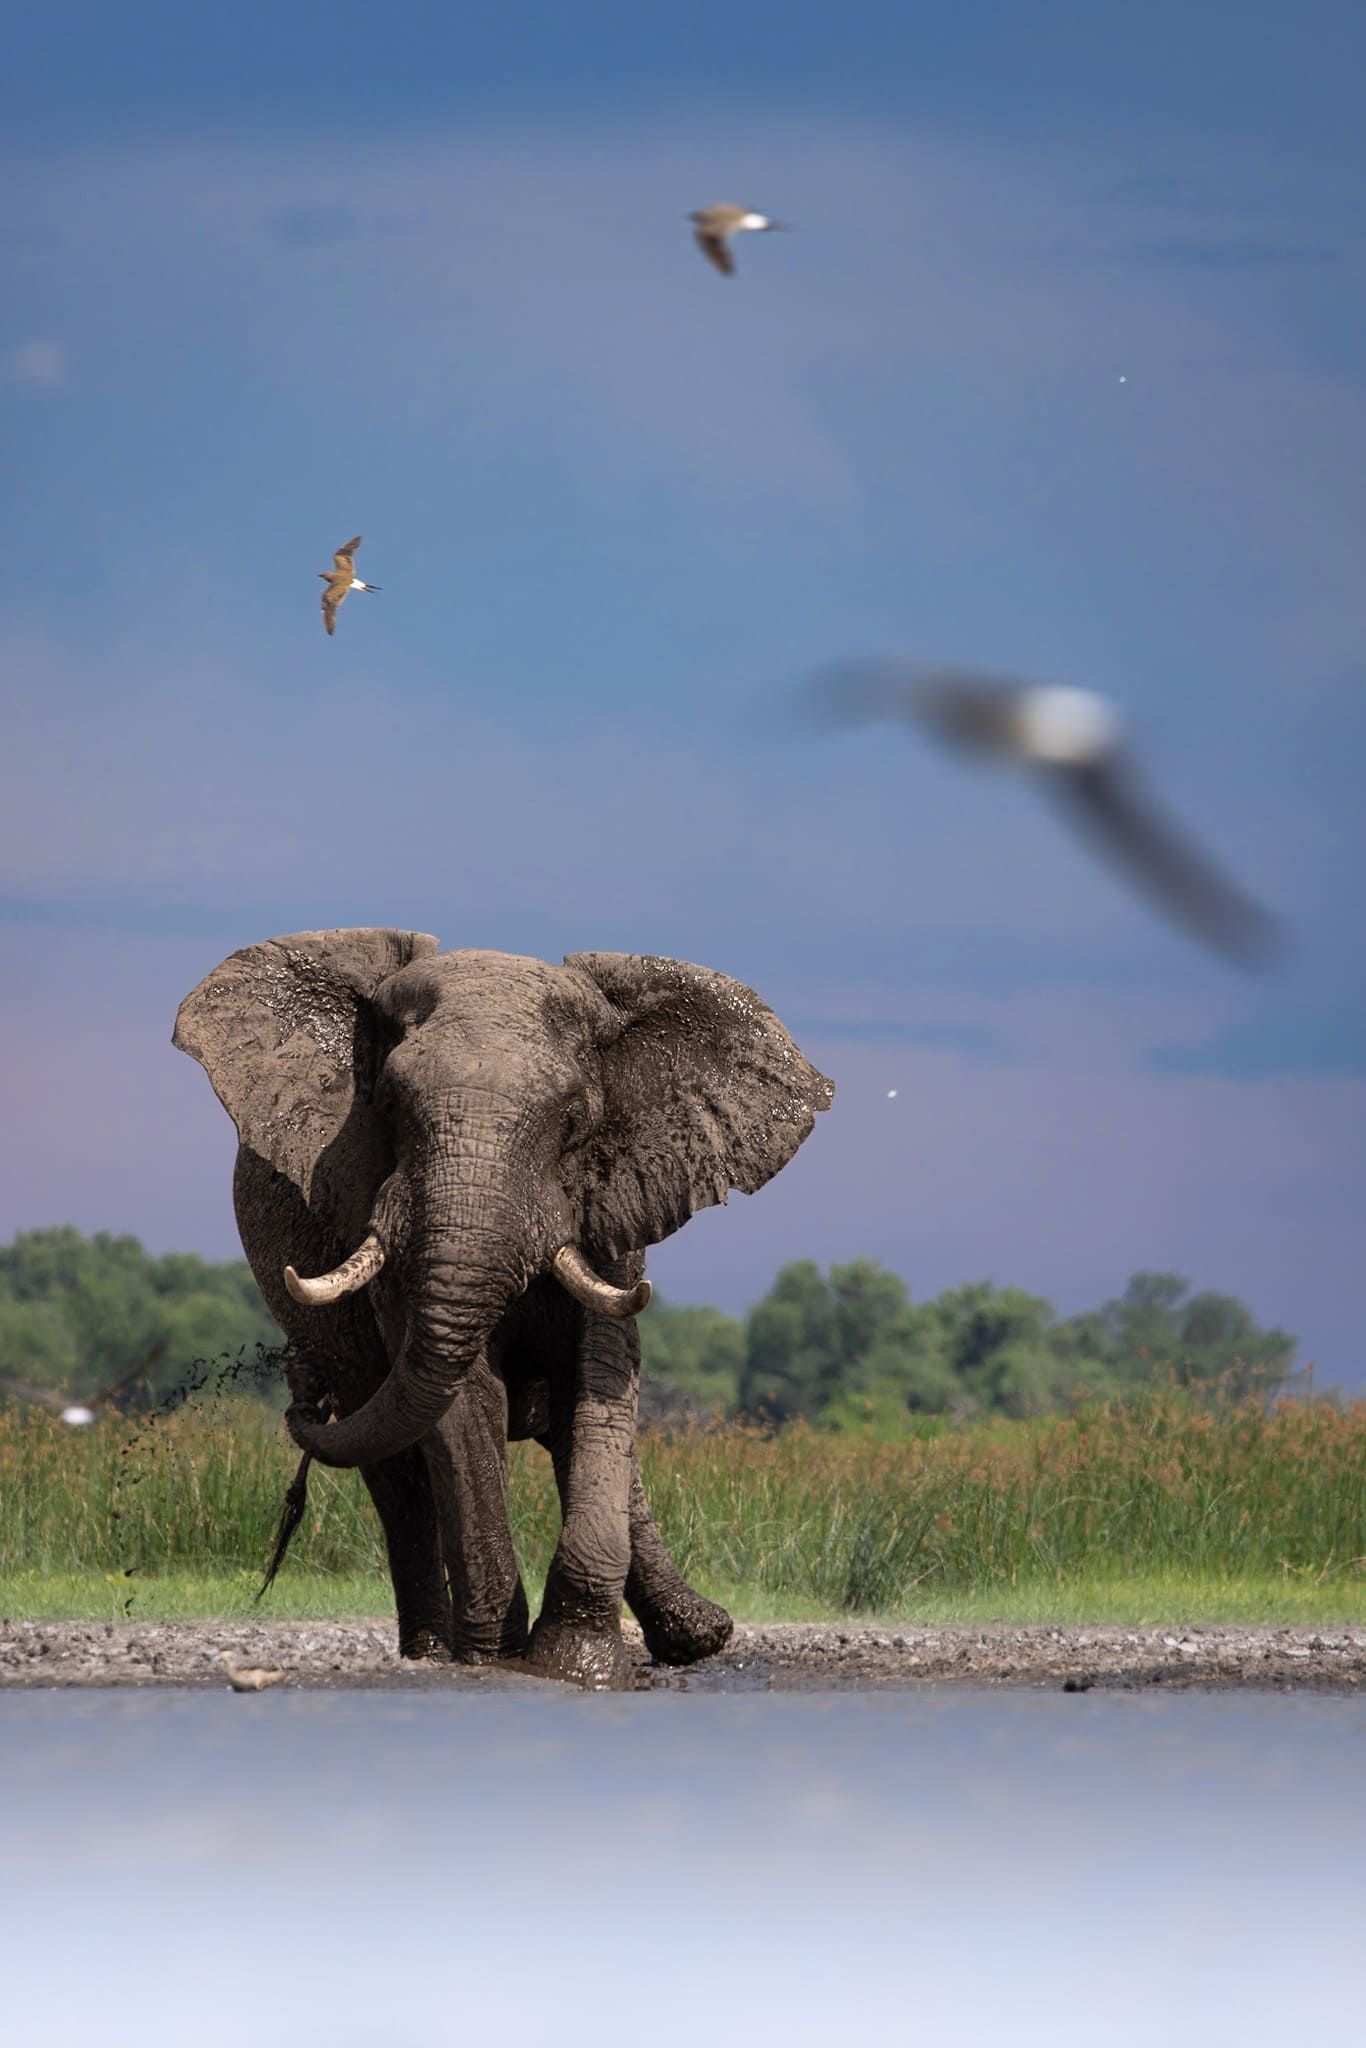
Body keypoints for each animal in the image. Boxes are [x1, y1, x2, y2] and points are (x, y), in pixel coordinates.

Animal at [174, 930, 833, 1687]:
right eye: (389, 1107)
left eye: (573, 1120)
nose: (300, 1394)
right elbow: (465, 1402)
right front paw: (496, 1657)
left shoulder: (612, 1205)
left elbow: (598, 1381)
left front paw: (575, 1664)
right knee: (395, 1464)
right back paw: (434, 1651)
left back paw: (697, 1638)